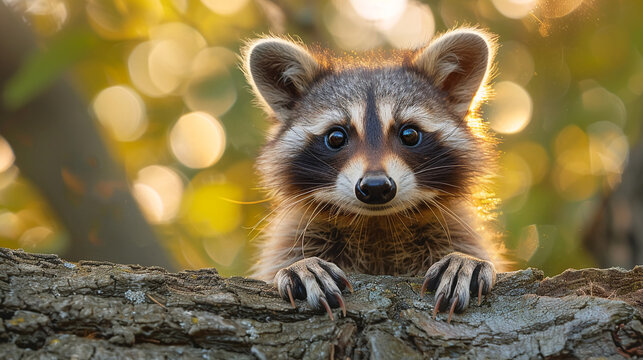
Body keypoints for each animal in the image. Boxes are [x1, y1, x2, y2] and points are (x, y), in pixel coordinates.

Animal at [244, 27, 506, 320]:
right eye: (336, 137)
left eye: (410, 134)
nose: (376, 187)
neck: (377, 224)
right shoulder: (298, 231)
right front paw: (303, 263)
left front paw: (464, 259)